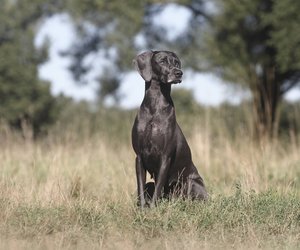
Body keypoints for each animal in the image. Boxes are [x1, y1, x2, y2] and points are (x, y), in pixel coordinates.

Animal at [132, 50, 207, 207]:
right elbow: (140, 187)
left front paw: (152, 209)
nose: (179, 73)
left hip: (190, 182)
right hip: (152, 183)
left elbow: (159, 186)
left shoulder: (165, 157)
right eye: (162, 61)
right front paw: (142, 209)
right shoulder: (139, 157)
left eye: (176, 62)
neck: (155, 104)